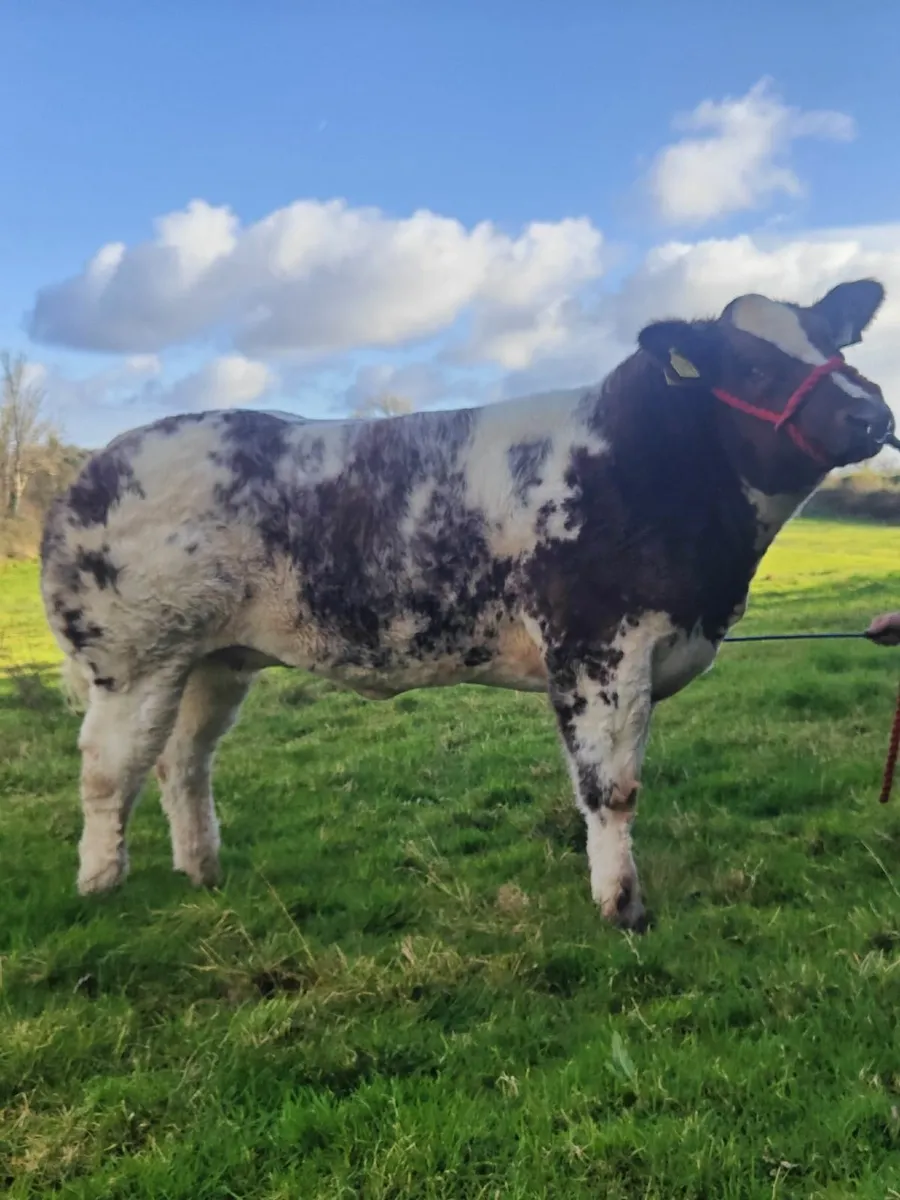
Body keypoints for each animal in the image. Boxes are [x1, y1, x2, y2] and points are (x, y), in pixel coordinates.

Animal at [39, 279, 892, 933]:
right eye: (752, 367)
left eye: (837, 344)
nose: (871, 412)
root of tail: (90, 472)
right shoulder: (597, 647)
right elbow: (610, 788)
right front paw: (623, 909)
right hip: (135, 656)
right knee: (109, 769)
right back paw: (99, 885)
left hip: (213, 658)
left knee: (184, 760)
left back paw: (204, 871)